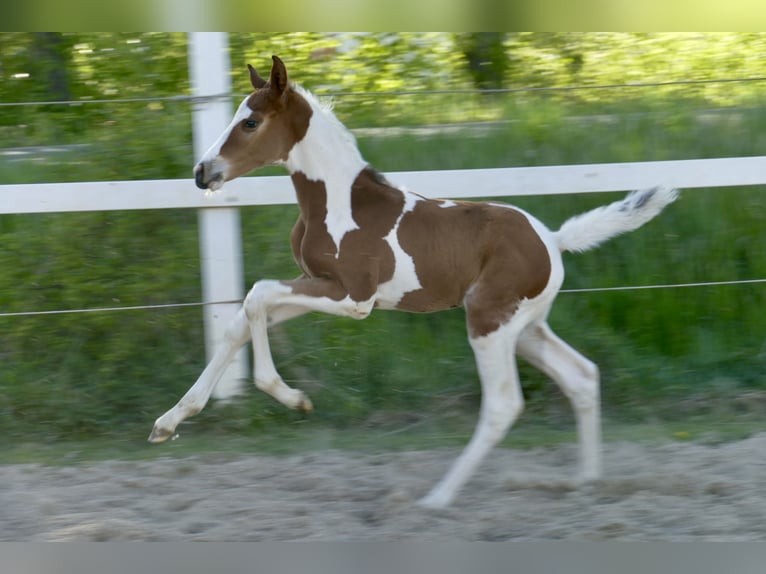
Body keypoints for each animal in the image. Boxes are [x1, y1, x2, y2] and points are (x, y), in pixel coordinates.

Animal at [149, 55, 679, 509]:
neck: (338, 203)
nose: (202, 172)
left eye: (250, 122)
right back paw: (586, 483)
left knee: (504, 404)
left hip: (488, 322)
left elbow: (256, 295)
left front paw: (292, 397)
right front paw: (168, 422)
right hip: (527, 327)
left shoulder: (353, 297)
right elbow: (242, 318)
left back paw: (437, 499)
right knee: (582, 376)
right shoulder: (314, 282)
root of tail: (553, 238)